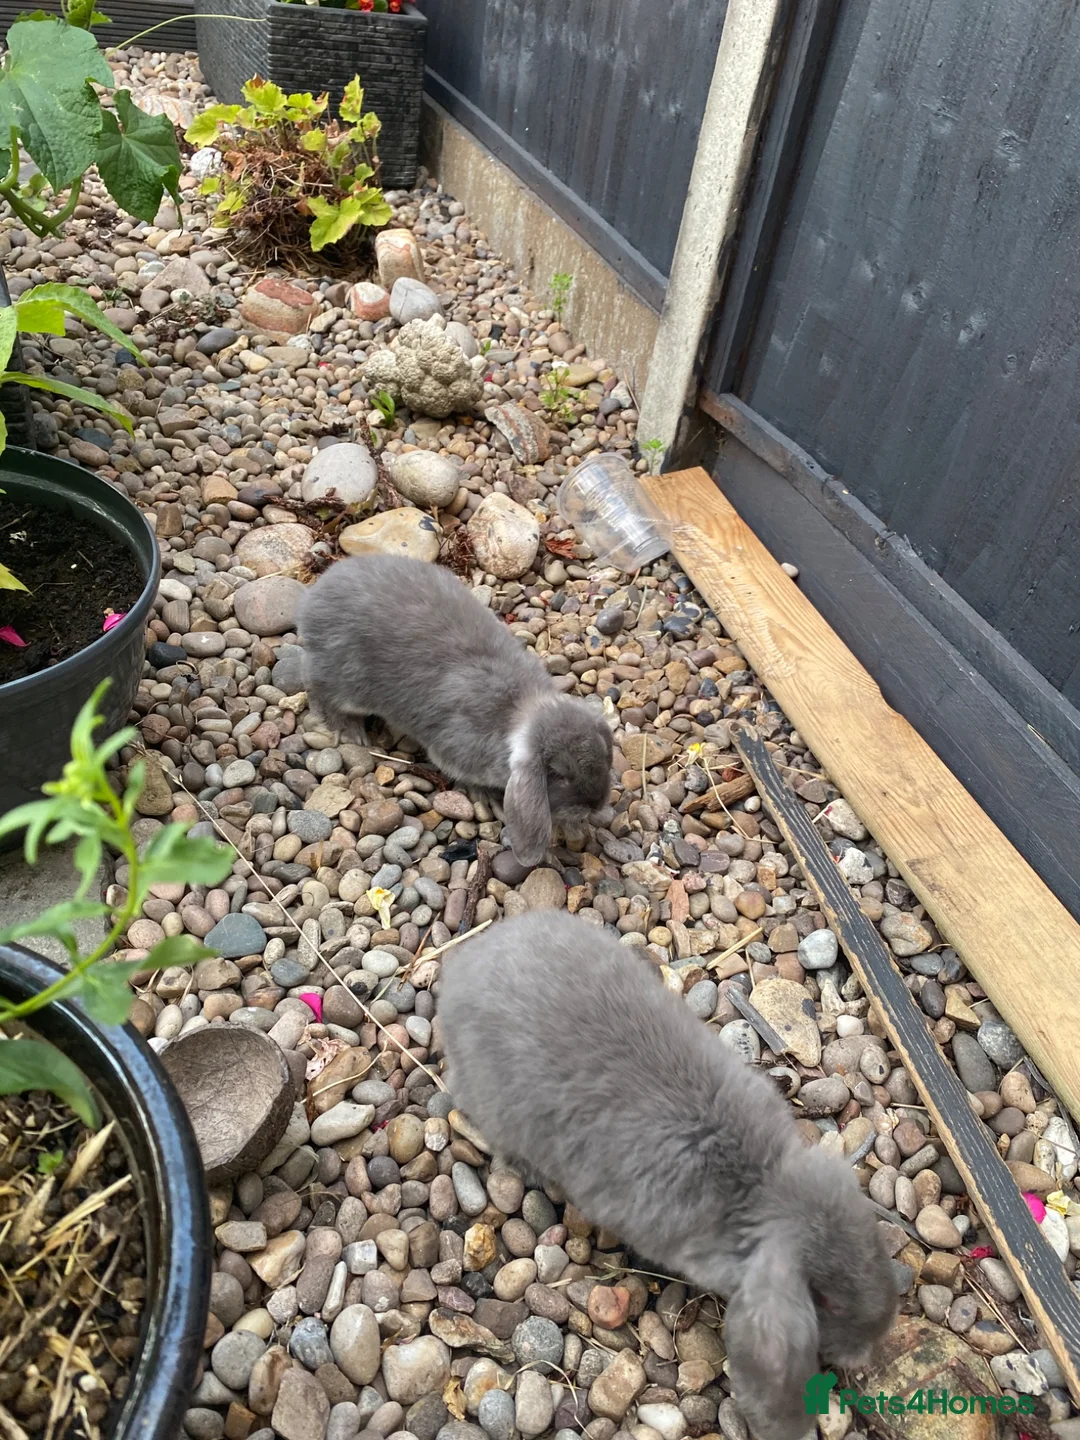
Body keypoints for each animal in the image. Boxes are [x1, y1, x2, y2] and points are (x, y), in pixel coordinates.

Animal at [298, 554, 614, 866]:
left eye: (604, 756)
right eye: (560, 774)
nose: (595, 805)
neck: (522, 710)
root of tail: (313, 599)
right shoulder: (454, 751)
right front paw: (488, 797)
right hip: (345, 683)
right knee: (319, 690)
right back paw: (350, 730)